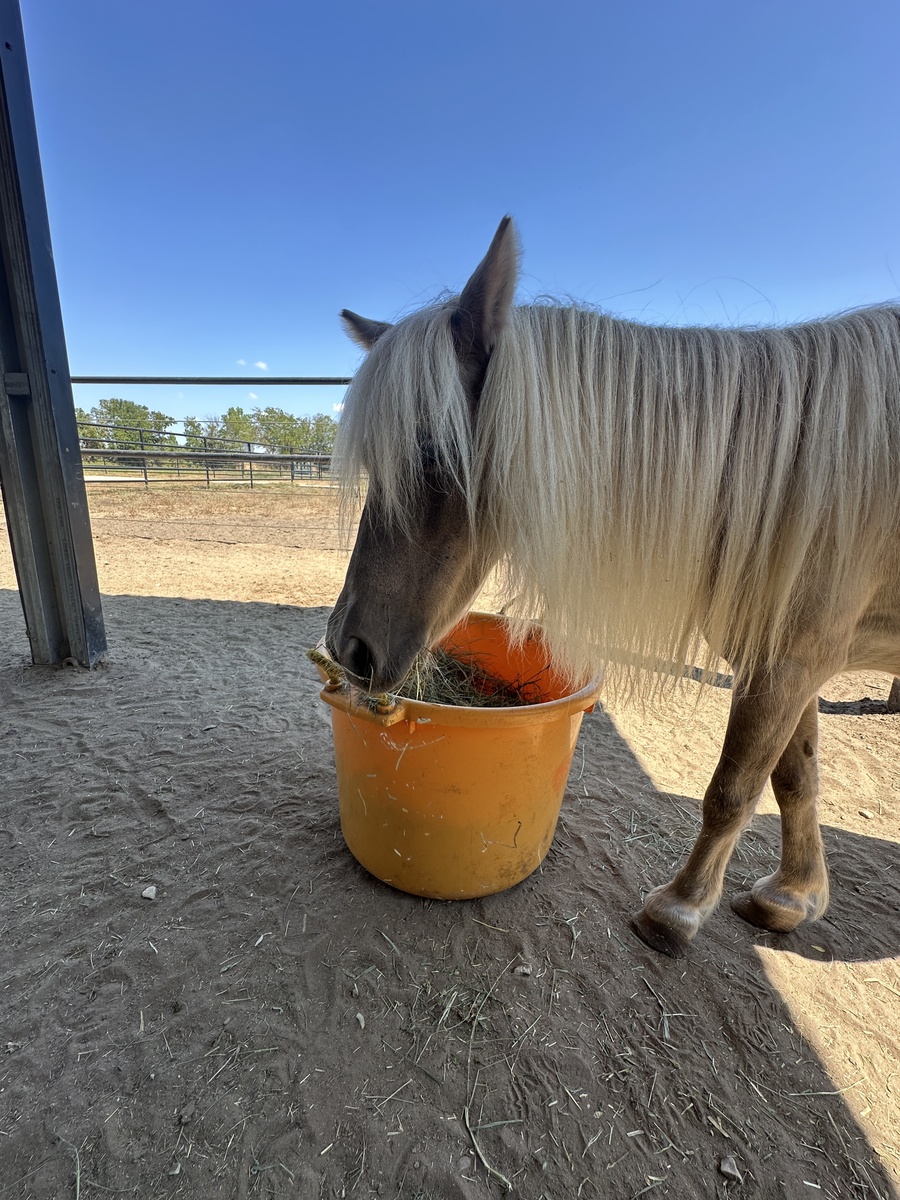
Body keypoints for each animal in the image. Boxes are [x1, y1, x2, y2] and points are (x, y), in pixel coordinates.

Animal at [326, 216, 900, 957]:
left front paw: (678, 910)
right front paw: (794, 898)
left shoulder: (792, 659)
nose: (348, 647)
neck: (793, 476)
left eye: (431, 452)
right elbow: (795, 776)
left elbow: (734, 786)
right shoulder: (780, 660)